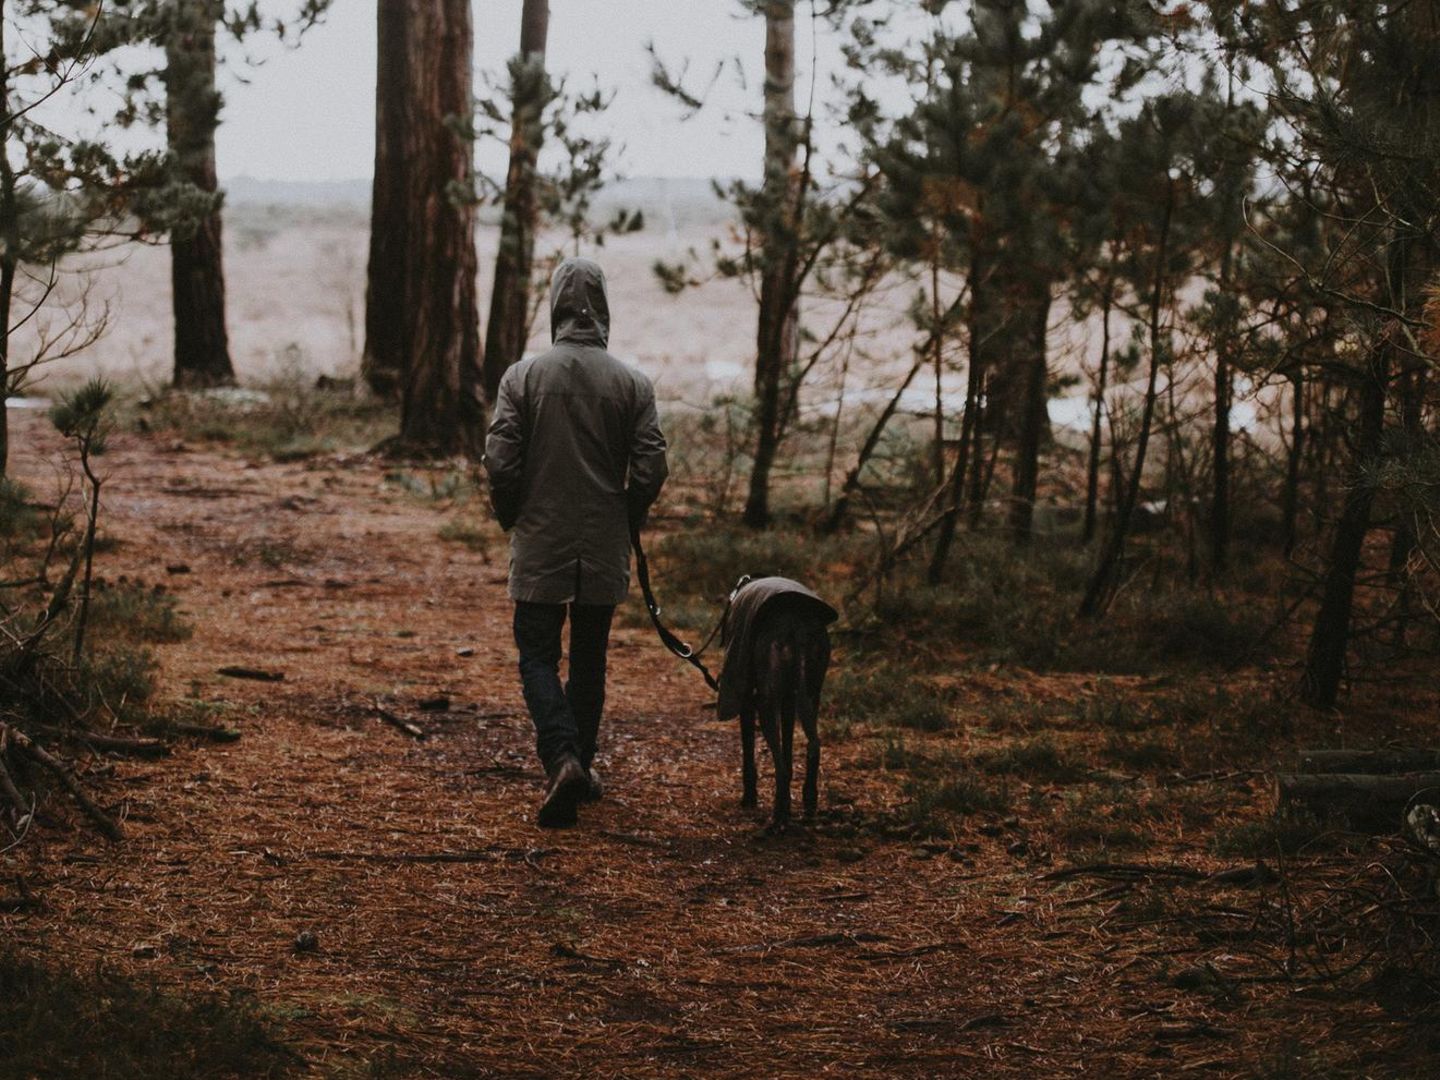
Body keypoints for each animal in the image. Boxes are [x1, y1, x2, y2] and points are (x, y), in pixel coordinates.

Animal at [714, 578, 840, 835]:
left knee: (780, 766)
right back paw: (808, 802)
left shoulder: (747, 701)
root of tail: (796, 625)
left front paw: (749, 798)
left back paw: (778, 817)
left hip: (767, 703)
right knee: (813, 745)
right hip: (811, 693)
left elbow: (749, 754)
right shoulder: (789, 703)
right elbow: (789, 748)